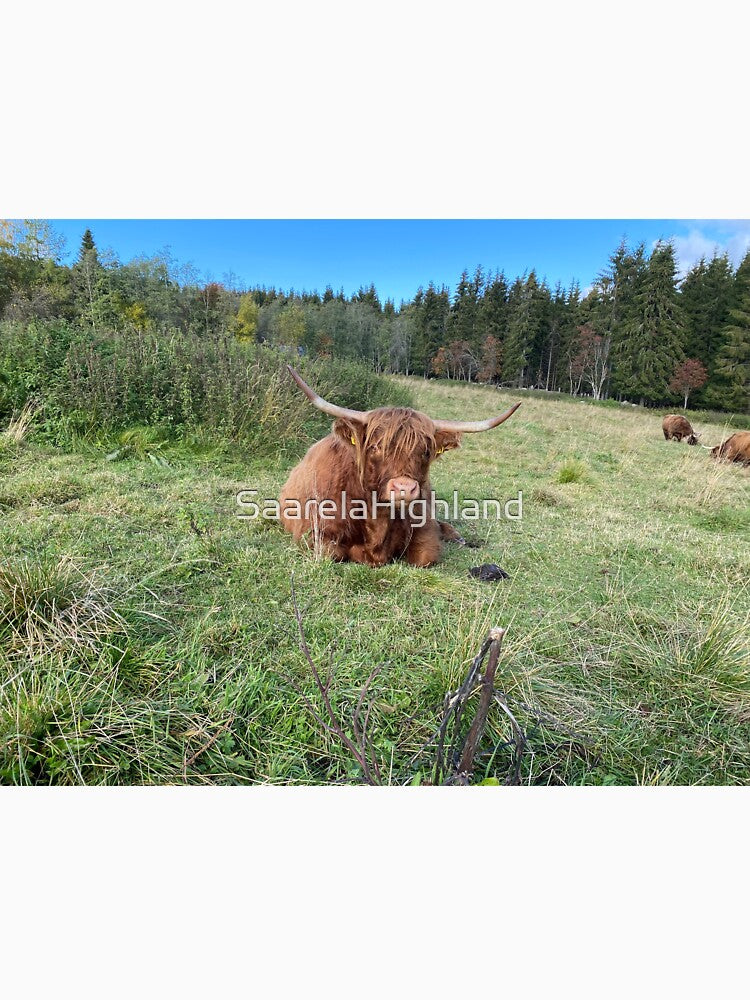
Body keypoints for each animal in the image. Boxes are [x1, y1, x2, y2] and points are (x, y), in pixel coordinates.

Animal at [279, 366, 521, 567]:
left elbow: (425, 556)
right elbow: (332, 553)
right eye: (375, 447)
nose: (404, 488)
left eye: (426, 451)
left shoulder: (424, 528)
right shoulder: (314, 531)